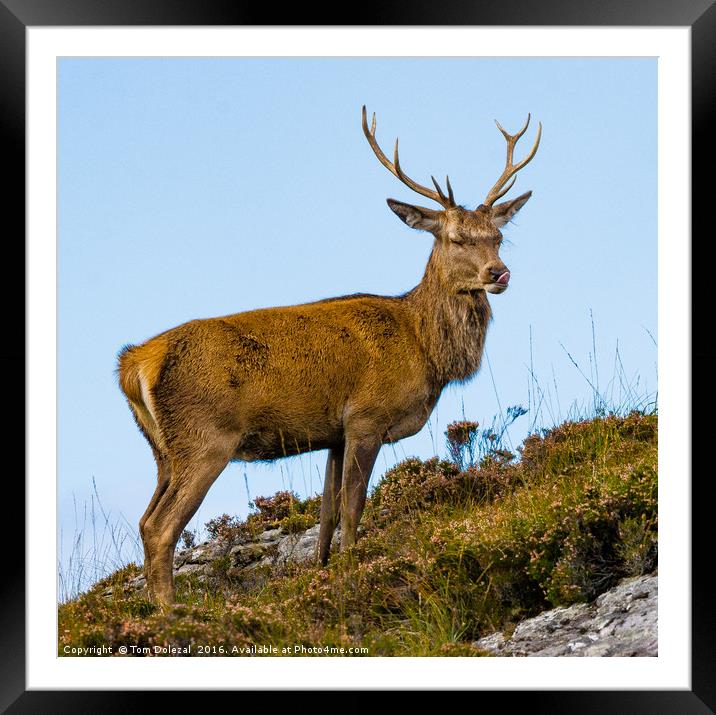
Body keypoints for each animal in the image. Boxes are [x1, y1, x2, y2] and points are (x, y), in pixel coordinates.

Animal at [119, 106, 544, 604]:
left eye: (498, 236)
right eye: (456, 238)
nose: (499, 273)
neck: (424, 348)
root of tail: (135, 363)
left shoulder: (333, 434)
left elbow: (326, 516)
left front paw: (323, 575)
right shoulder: (366, 416)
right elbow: (353, 507)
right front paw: (352, 571)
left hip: (163, 451)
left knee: (144, 520)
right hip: (206, 438)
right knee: (160, 528)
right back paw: (173, 611)